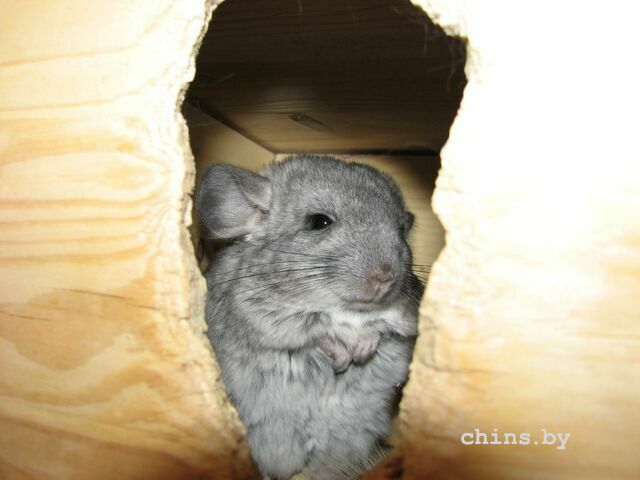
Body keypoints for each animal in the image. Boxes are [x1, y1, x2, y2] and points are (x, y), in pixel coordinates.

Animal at [195, 154, 423, 480]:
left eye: (401, 228)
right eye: (319, 222)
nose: (385, 275)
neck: (346, 310)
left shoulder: (403, 318)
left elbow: (381, 328)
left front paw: (364, 349)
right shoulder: (265, 318)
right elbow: (319, 332)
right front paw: (344, 356)